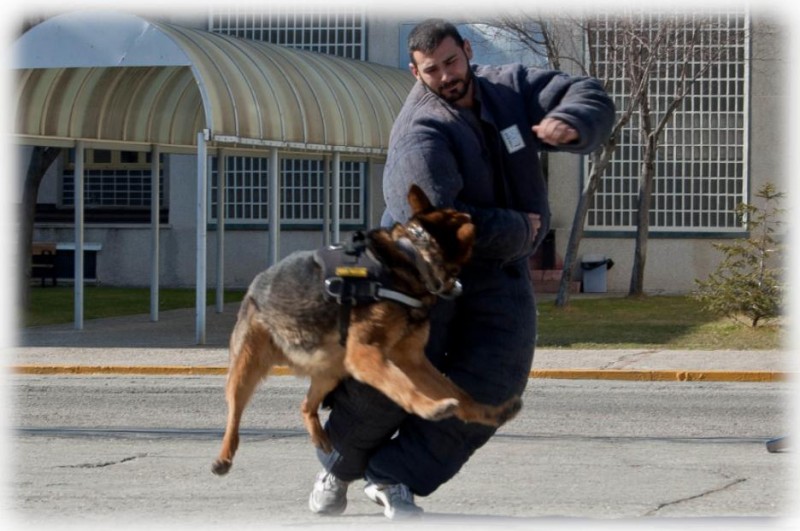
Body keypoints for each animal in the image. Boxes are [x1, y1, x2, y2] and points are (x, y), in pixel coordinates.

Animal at [212, 185, 520, 476]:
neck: (413, 256)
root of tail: (256, 284)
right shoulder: (367, 355)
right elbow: (401, 385)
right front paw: (429, 407)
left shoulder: (413, 361)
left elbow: (460, 392)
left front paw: (488, 412)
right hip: (246, 369)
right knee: (233, 413)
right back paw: (223, 456)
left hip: (331, 371)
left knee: (305, 405)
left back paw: (319, 437)